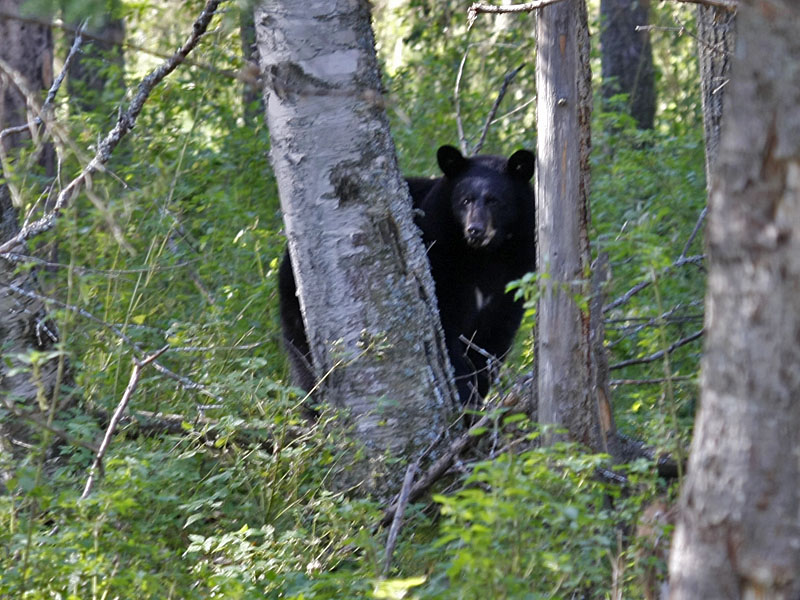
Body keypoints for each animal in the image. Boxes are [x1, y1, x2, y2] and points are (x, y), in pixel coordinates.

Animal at [278, 146, 536, 406]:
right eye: (465, 200)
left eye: (495, 201)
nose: (475, 230)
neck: (484, 256)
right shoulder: (441, 261)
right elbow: (447, 329)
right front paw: (462, 397)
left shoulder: (514, 275)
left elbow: (492, 341)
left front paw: (475, 398)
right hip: (298, 307)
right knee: (305, 364)